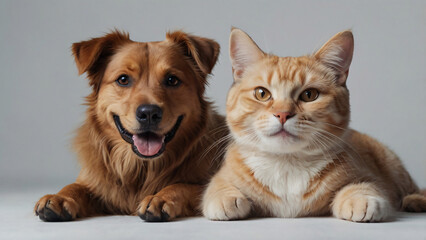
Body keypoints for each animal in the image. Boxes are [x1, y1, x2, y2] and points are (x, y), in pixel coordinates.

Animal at [34, 30, 228, 223]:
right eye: (123, 79)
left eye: (172, 80)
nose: (149, 113)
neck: (140, 167)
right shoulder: (93, 181)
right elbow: (76, 186)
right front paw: (60, 197)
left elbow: (183, 185)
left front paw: (159, 197)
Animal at [201, 27, 424, 221]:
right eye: (262, 94)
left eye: (309, 95)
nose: (283, 114)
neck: (287, 163)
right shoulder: (224, 174)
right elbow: (217, 186)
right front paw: (225, 197)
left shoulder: (369, 175)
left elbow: (365, 185)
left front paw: (360, 198)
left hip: (393, 165)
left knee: (412, 188)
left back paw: (415, 200)